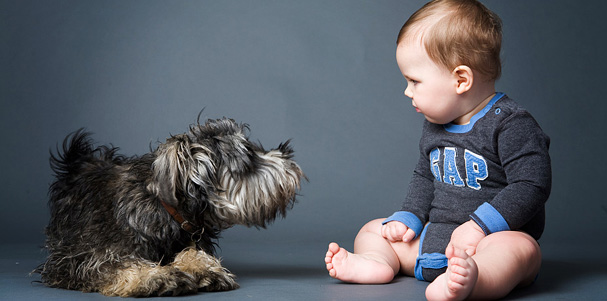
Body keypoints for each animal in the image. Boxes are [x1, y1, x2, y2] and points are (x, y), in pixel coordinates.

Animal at [34, 116, 304, 296]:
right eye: (248, 158)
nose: (289, 157)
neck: (167, 210)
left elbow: (195, 251)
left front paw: (204, 269)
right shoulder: (78, 258)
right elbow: (112, 263)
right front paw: (155, 276)